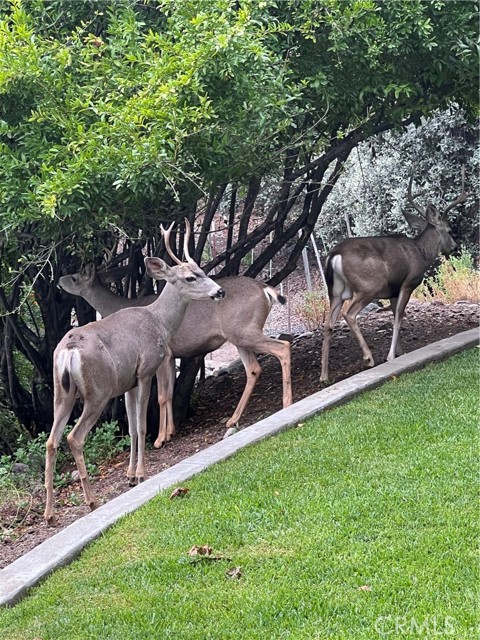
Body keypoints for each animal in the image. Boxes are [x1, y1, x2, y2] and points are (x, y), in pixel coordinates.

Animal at [45, 220, 225, 524]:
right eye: (191, 277)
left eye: (202, 270)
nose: (220, 291)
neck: (160, 321)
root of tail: (68, 350)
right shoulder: (145, 371)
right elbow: (141, 425)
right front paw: (141, 473)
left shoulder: (127, 383)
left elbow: (130, 427)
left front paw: (129, 476)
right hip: (98, 391)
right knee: (74, 437)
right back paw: (91, 501)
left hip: (63, 393)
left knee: (51, 441)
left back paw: (49, 514)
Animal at [59, 262, 292, 448]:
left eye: (75, 277)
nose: (59, 281)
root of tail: (265, 289)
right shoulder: (171, 357)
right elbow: (170, 392)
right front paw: (171, 431)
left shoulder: (164, 355)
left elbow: (161, 396)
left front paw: (160, 438)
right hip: (239, 336)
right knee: (253, 369)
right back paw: (232, 419)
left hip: (244, 330)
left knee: (283, 346)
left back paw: (286, 403)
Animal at [320, 168, 470, 382]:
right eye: (449, 230)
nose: (454, 247)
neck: (421, 252)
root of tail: (334, 255)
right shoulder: (408, 282)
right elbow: (399, 315)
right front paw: (391, 356)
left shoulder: (392, 291)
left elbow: (394, 314)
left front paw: (400, 352)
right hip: (368, 286)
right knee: (349, 314)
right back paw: (368, 358)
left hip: (335, 292)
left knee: (328, 324)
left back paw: (324, 376)